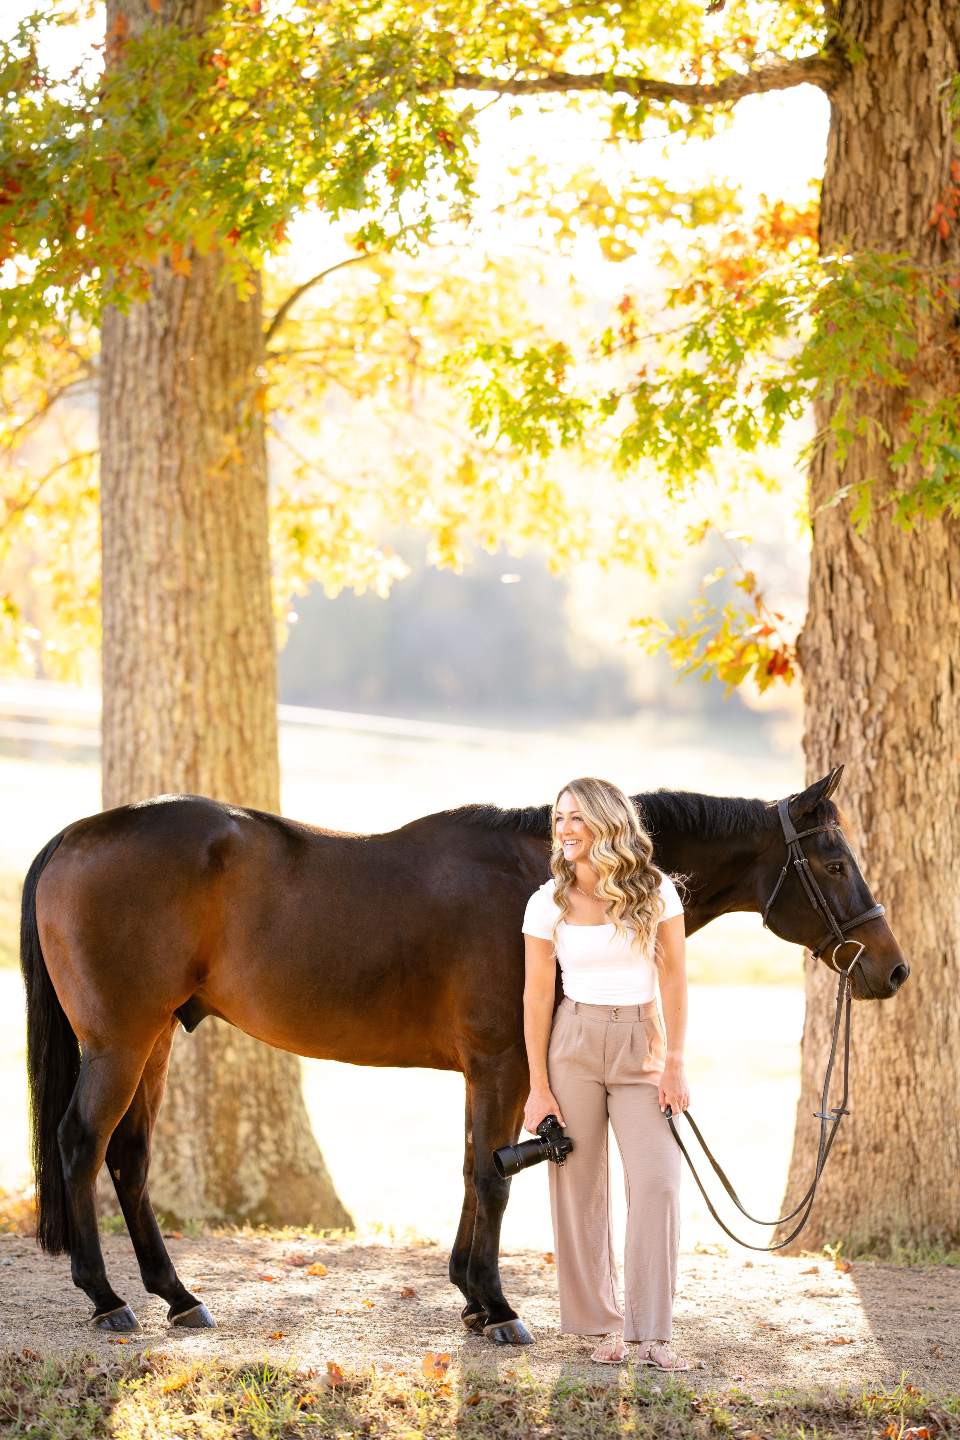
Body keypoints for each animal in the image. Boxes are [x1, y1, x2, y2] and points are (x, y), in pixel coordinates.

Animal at [20, 763, 908, 1343]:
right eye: (835, 862)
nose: (892, 969)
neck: (537, 882)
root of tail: (75, 836)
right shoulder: (504, 1064)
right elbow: (493, 1176)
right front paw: (499, 1307)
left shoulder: (498, 1073)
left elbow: (475, 1166)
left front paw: (472, 1298)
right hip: (119, 1043)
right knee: (81, 1146)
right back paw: (107, 1299)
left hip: (153, 1042)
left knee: (128, 1159)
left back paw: (177, 1296)